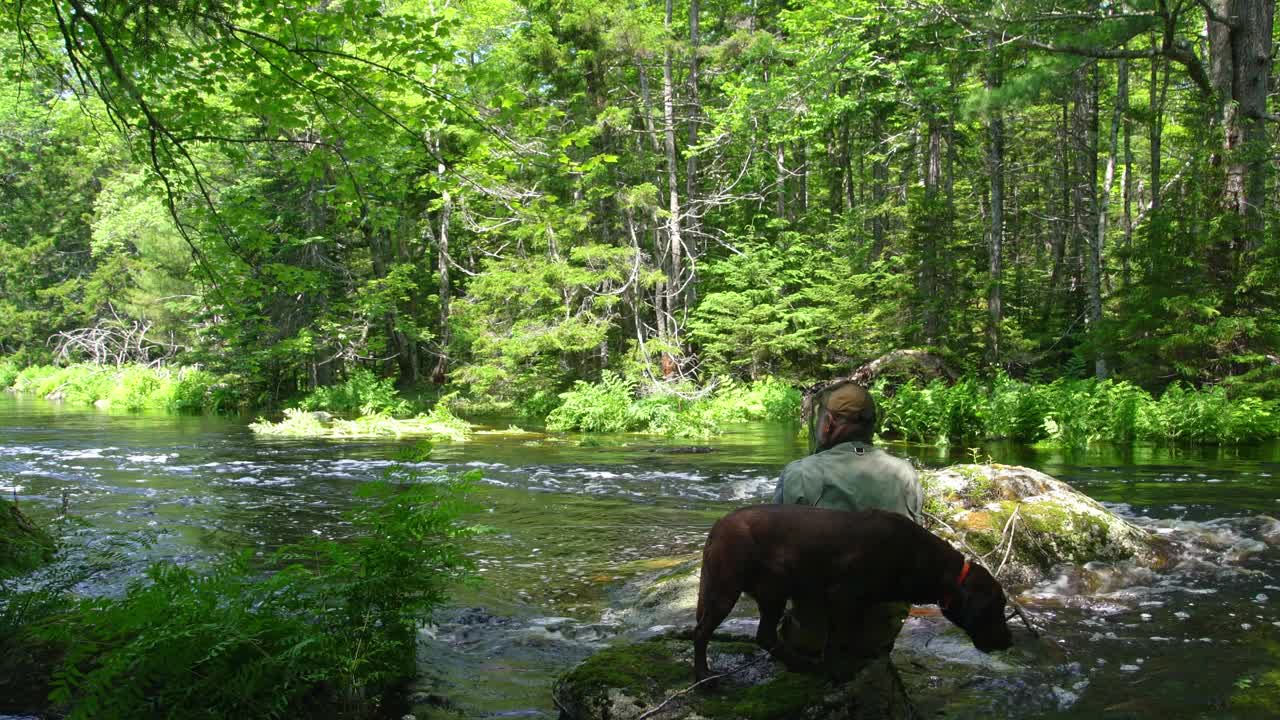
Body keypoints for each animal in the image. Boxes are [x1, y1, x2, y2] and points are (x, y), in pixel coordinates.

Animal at [696, 502, 1013, 676]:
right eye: (997, 608)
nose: (1009, 642)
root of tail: (718, 525)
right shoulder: (842, 597)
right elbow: (835, 643)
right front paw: (836, 672)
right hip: (725, 590)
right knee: (702, 632)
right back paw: (702, 678)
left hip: (772, 593)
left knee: (765, 636)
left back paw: (800, 665)